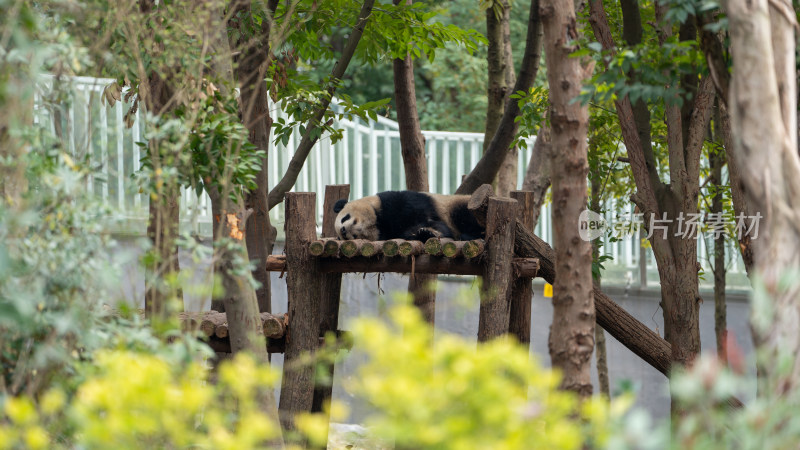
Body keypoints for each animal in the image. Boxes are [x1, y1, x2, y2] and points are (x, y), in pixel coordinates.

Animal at [330, 190, 482, 243]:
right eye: (345, 237)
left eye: (344, 218)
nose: (343, 230)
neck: (376, 223)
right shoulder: (391, 232)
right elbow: (407, 232)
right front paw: (424, 233)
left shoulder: (393, 201)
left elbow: (427, 217)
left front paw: (431, 231)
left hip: (463, 203)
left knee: (464, 215)